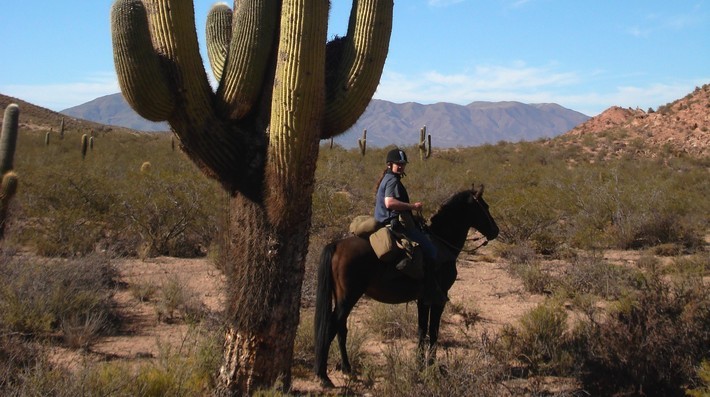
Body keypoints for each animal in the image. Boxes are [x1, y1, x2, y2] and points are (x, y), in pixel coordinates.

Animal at [314, 184, 504, 386]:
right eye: (485, 207)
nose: (495, 231)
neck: (442, 243)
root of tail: (336, 245)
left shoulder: (423, 299)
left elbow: (422, 330)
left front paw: (420, 365)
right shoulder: (439, 298)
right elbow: (433, 331)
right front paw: (432, 366)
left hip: (342, 297)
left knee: (341, 329)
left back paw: (347, 369)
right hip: (349, 297)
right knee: (331, 327)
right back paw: (323, 376)